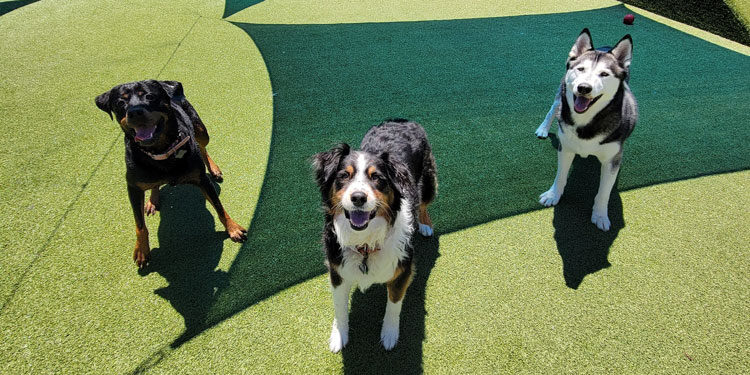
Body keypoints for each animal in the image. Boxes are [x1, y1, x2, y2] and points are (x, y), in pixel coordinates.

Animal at [95, 79, 248, 268]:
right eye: (120, 103)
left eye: (150, 96)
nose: (135, 112)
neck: (162, 151)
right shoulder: (133, 188)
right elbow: (139, 224)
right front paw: (142, 250)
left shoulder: (202, 179)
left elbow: (219, 207)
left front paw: (233, 229)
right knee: (155, 185)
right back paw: (153, 200)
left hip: (201, 130)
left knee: (202, 146)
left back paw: (214, 168)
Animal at [312, 119, 440, 352]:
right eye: (344, 176)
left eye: (377, 178)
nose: (358, 197)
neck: (365, 242)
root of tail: (401, 119)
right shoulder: (337, 270)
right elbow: (339, 308)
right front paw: (339, 335)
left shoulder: (403, 269)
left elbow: (394, 305)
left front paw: (389, 335)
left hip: (428, 178)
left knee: (424, 202)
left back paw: (425, 224)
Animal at [536, 29, 640, 231]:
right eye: (581, 69)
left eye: (604, 74)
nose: (584, 88)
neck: (587, 122)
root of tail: (605, 46)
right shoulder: (565, 148)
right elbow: (560, 176)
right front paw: (553, 195)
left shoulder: (612, 160)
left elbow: (604, 192)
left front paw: (600, 215)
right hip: (561, 94)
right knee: (554, 108)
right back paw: (543, 128)